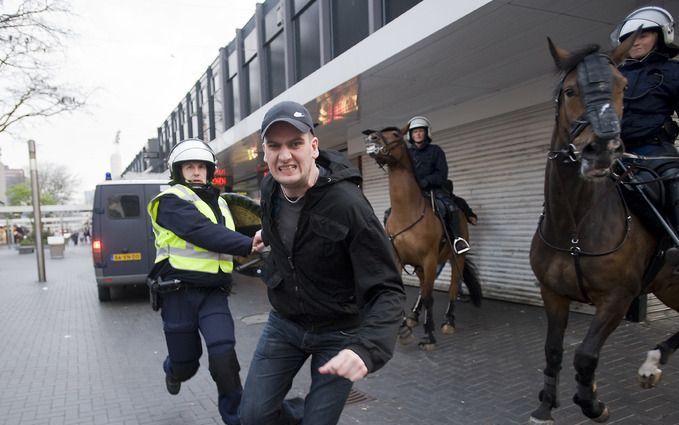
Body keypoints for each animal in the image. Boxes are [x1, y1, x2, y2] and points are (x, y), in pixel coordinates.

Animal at [364, 124, 480, 350]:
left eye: (395, 134)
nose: (371, 138)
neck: (407, 211)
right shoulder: (399, 259)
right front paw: (404, 329)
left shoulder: (429, 259)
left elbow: (429, 297)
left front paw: (428, 336)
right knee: (423, 287)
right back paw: (413, 316)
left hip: (456, 257)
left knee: (452, 286)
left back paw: (448, 321)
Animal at [532, 35, 679, 420]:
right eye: (569, 90)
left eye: (623, 87)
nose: (602, 150)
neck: (574, 227)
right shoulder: (553, 294)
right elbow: (553, 350)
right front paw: (545, 406)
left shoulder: (618, 298)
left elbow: (585, 354)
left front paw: (592, 402)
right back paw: (653, 364)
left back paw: (651, 363)